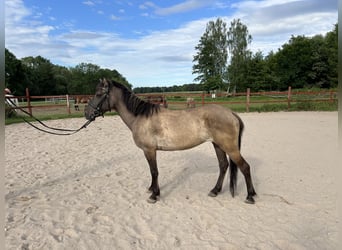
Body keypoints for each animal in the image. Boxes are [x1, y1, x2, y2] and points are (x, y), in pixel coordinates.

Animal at [85, 79, 256, 204]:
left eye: (99, 93)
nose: (87, 113)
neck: (140, 116)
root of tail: (231, 113)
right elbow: (152, 172)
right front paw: (151, 189)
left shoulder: (149, 150)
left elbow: (154, 171)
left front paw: (154, 195)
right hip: (218, 145)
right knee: (223, 165)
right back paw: (215, 191)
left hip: (230, 147)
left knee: (245, 167)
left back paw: (250, 196)